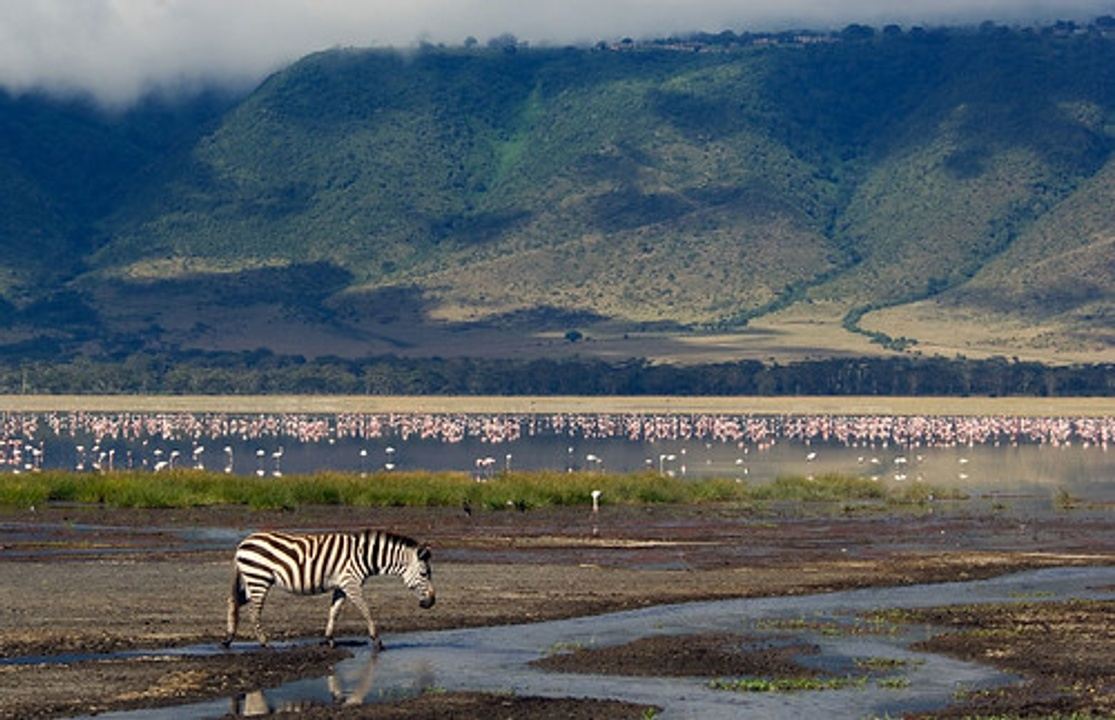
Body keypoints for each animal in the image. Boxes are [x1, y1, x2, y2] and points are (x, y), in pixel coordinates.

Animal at [221, 530, 434, 655]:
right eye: (424, 574)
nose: (431, 602)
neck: (364, 557)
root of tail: (243, 542)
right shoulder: (351, 583)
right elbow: (366, 610)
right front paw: (378, 641)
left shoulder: (341, 586)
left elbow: (334, 612)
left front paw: (329, 639)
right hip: (259, 579)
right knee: (253, 612)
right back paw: (264, 643)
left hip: (252, 580)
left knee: (233, 602)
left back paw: (228, 638)